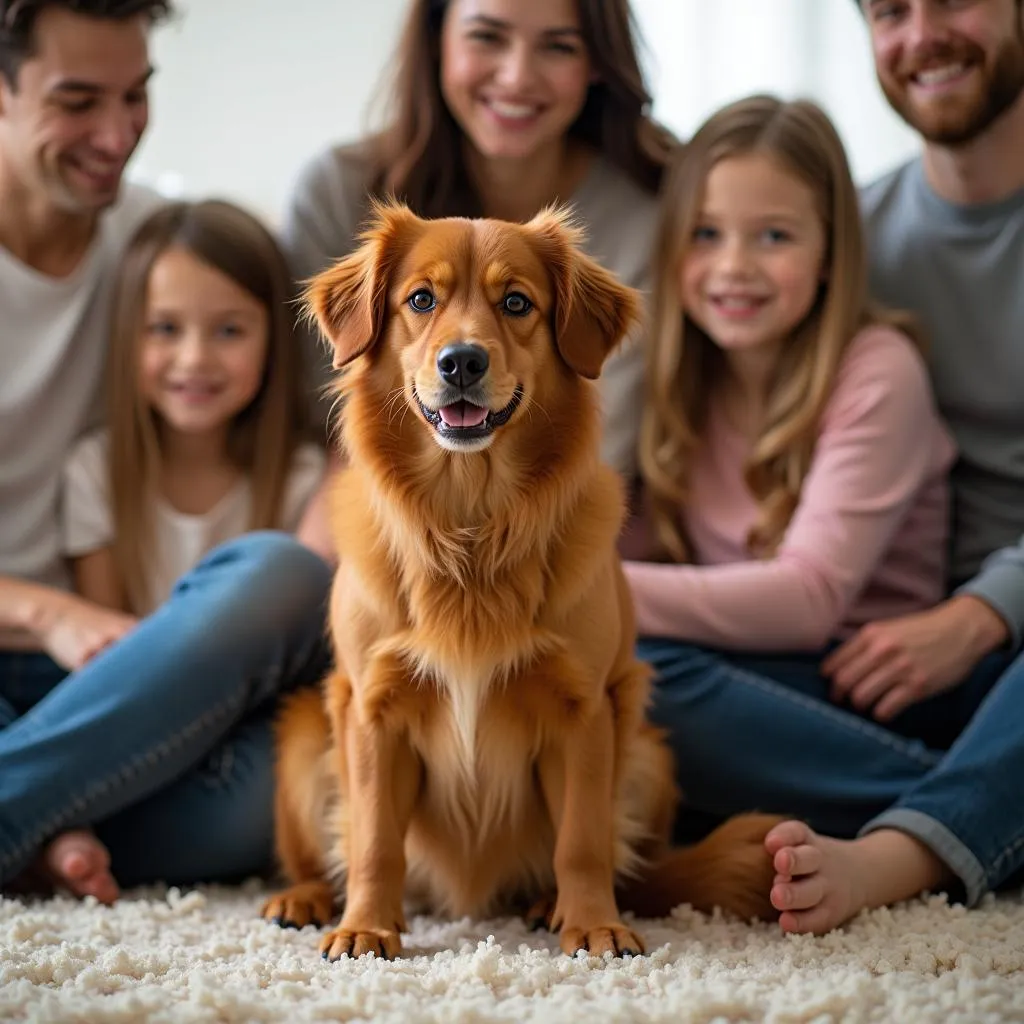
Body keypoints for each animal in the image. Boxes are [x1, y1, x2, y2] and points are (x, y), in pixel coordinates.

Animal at [260, 201, 778, 958]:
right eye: (421, 299)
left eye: (516, 303)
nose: (462, 361)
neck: (471, 525)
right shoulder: (371, 707)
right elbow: (375, 839)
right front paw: (366, 926)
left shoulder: (586, 707)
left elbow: (583, 840)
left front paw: (593, 923)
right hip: (305, 736)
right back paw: (305, 898)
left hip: (647, 752)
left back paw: (547, 904)